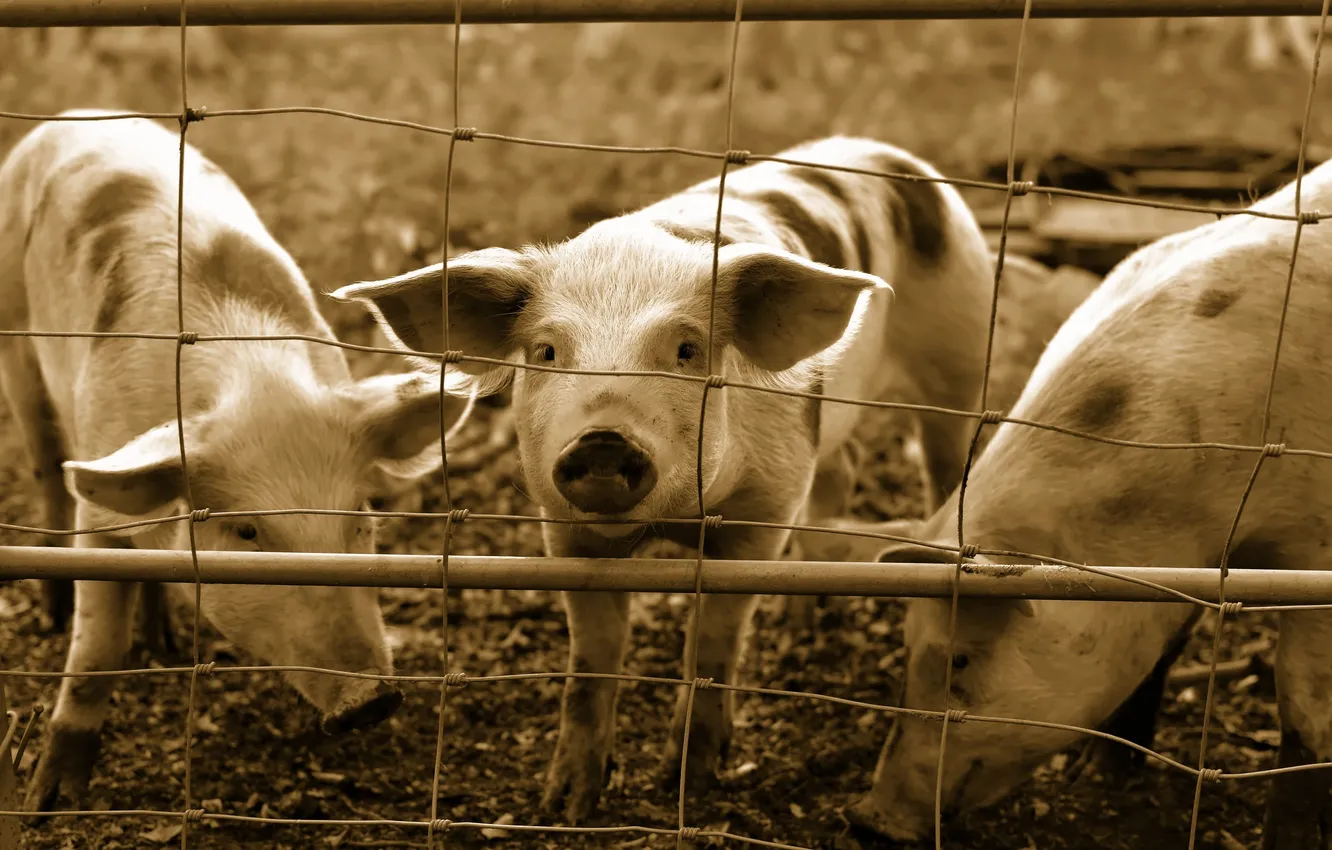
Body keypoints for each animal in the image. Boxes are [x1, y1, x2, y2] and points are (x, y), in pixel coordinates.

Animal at [0, 110, 475, 813]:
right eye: (247, 530)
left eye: (360, 517)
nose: (372, 700)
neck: (254, 380)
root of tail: (69, 117)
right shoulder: (99, 498)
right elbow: (96, 647)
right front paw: (49, 803)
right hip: (17, 346)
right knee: (44, 467)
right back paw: (56, 608)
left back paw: (165, 643)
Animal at [331, 135, 995, 821]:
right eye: (546, 352)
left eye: (687, 351)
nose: (601, 440)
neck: (670, 524)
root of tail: (883, 152)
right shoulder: (563, 533)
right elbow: (591, 658)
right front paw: (564, 806)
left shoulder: (764, 506)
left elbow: (714, 641)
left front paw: (690, 783)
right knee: (844, 468)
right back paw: (798, 622)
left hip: (960, 359)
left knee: (946, 465)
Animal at [797, 157, 1332, 848]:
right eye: (908, 651)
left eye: (961, 659)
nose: (868, 821)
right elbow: (1164, 644)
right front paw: (1100, 774)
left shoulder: (1316, 549)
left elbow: (1303, 700)